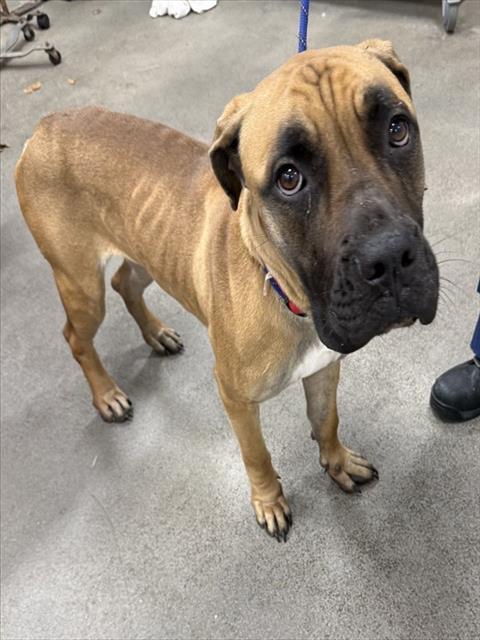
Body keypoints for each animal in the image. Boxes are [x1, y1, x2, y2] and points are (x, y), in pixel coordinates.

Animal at [15, 40, 439, 541]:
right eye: (288, 178)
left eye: (397, 130)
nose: (389, 258)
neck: (283, 292)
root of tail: (44, 127)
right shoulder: (235, 397)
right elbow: (257, 454)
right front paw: (269, 501)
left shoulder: (323, 368)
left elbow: (326, 420)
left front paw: (336, 462)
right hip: (81, 285)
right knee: (77, 337)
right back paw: (106, 395)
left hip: (147, 254)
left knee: (125, 282)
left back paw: (156, 334)